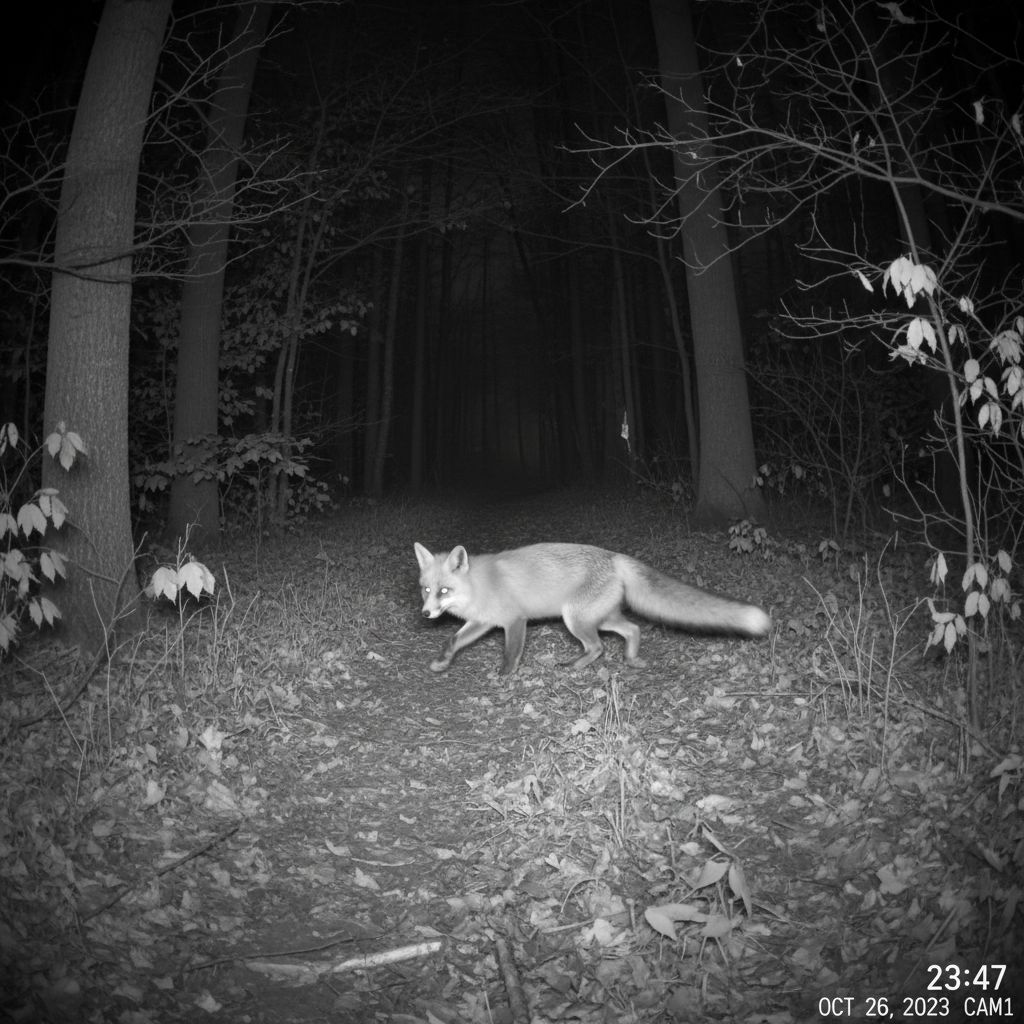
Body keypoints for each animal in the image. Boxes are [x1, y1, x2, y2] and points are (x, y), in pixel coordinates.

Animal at [414, 541, 771, 675]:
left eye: (444, 591)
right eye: (426, 590)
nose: (426, 614)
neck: (478, 586)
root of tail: (615, 556)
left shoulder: (514, 621)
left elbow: (510, 653)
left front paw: (505, 675)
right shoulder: (483, 622)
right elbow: (452, 641)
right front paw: (442, 663)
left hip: (575, 619)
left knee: (598, 647)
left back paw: (574, 665)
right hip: (601, 618)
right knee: (632, 629)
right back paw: (631, 659)